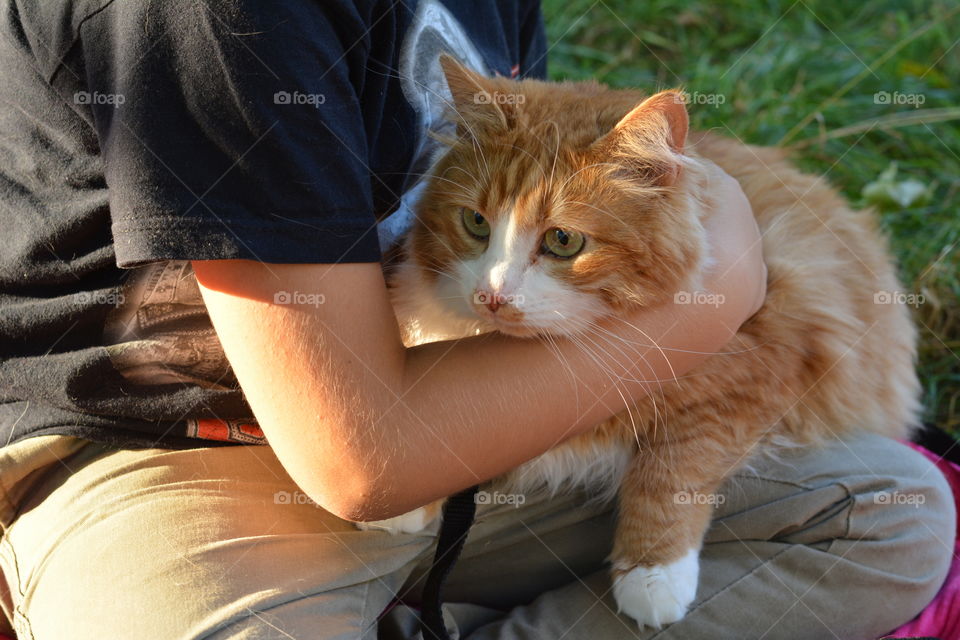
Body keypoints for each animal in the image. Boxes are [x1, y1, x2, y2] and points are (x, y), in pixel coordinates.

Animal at [362, 57, 924, 628]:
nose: (492, 296)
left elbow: (673, 470)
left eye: (563, 241)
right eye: (476, 223)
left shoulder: (759, 365)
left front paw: (653, 575)